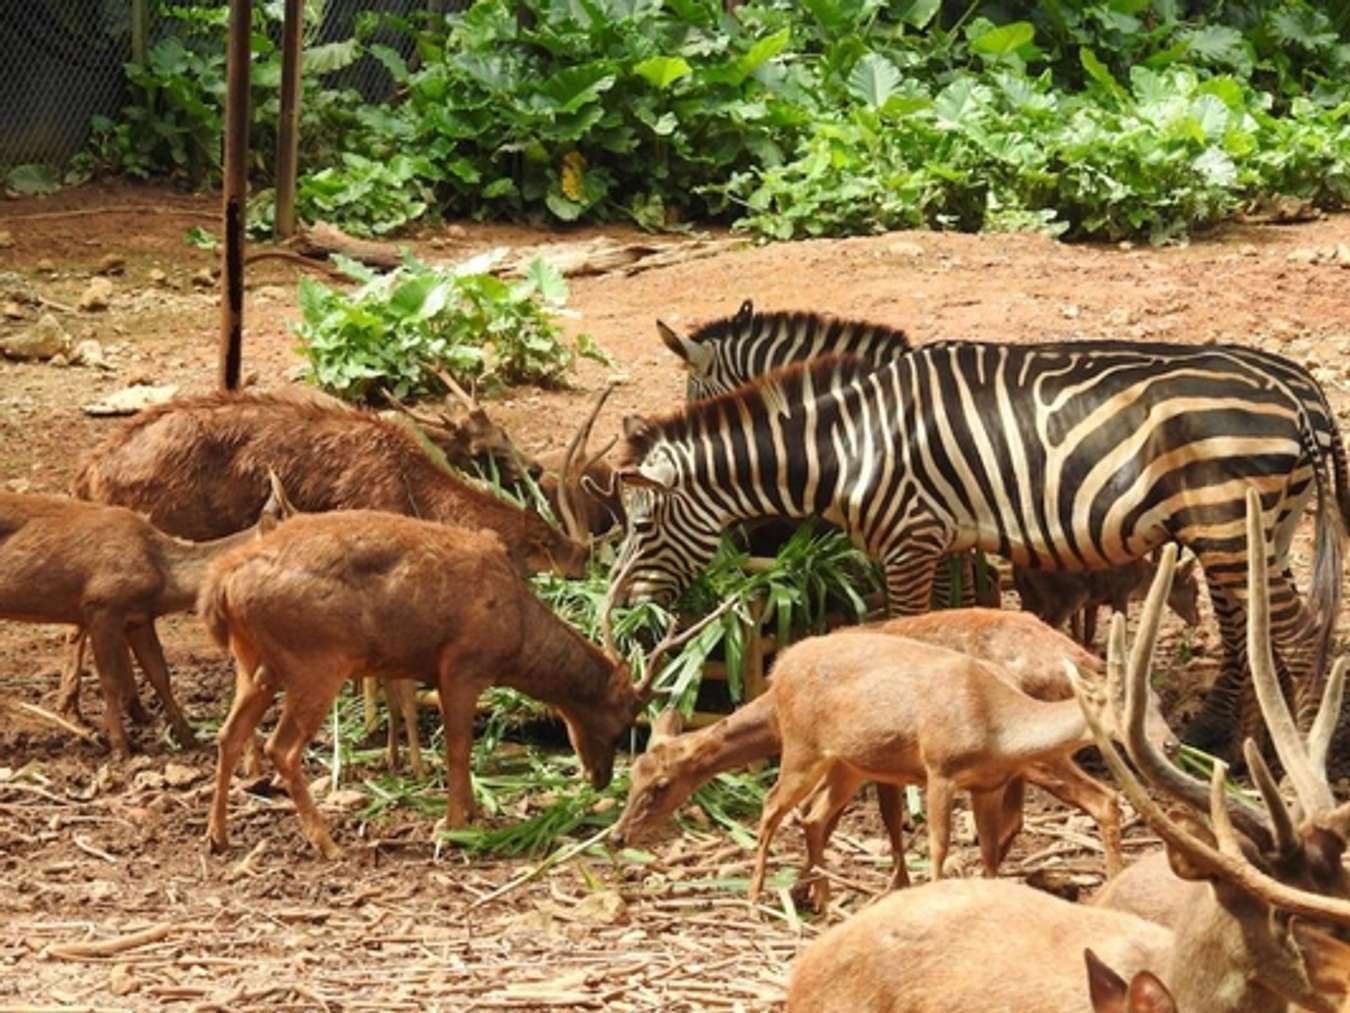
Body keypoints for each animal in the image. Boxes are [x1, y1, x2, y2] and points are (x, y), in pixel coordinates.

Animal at [0, 480, 292, 756]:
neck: (163, 572)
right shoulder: (101, 607)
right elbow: (110, 681)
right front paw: (120, 746)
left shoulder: (139, 619)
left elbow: (159, 674)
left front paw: (189, 738)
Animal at [197, 510, 723, 859]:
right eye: (621, 722)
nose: (599, 778)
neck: (516, 638)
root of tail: (220, 585)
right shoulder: (462, 665)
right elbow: (458, 748)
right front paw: (452, 824)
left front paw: (474, 815)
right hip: (316, 660)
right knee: (281, 747)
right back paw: (328, 844)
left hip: (257, 662)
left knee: (228, 734)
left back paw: (217, 835)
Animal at [1015, 551, 1204, 645]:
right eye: (1196, 590)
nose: (1197, 620)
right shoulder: (1120, 592)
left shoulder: (1093, 602)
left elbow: (1090, 632)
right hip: (1069, 598)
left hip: (1031, 598)